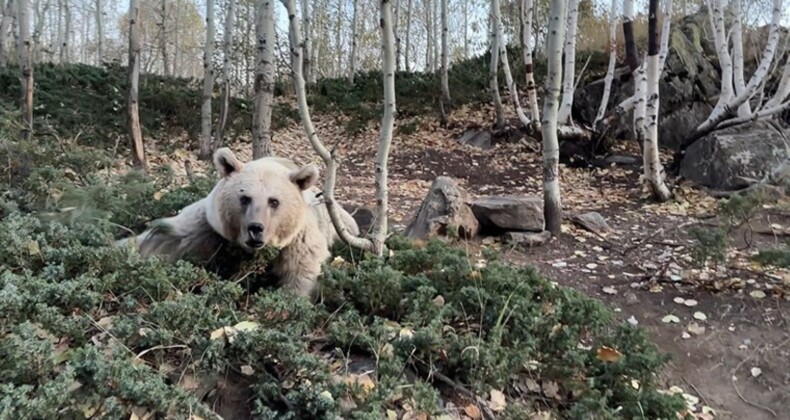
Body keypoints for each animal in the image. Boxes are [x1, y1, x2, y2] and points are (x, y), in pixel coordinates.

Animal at [118, 148, 362, 298]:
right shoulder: (210, 226)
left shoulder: (297, 239)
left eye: (274, 201)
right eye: (245, 198)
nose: (256, 228)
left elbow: (301, 271)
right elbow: (165, 239)